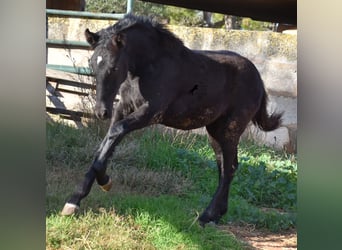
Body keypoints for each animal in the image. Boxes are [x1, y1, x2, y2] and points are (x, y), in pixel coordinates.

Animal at [61, 14, 280, 227]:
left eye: (114, 67)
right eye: (92, 64)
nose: (101, 112)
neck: (150, 66)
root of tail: (258, 79)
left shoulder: (151, 112)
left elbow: (114, 134)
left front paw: (102, 183)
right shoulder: (123, 108)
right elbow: (105, 145)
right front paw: (76, 199)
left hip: (230, 129)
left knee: (229, 168)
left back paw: (206, 216)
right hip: (215, 131)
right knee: (224, 165)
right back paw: (216, 215)